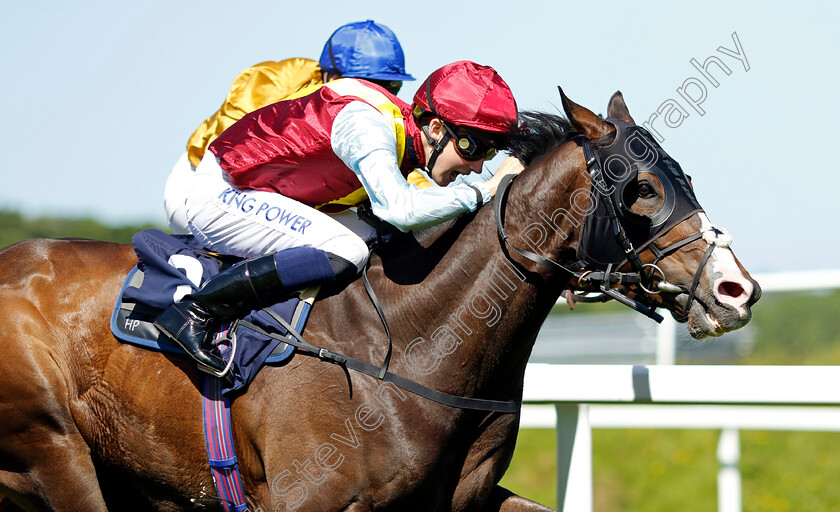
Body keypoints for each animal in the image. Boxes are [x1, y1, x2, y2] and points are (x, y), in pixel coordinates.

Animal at [0, 90, 760, 510]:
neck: (411, 344)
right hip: (54, 451)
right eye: (643, 189)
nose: (737, 288)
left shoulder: (460, 499)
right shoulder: (305, 500)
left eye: (684, 177)